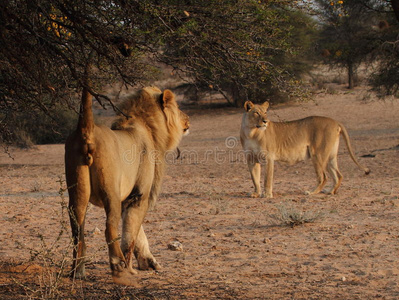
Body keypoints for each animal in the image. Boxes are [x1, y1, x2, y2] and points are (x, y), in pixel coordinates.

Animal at [65, 86, 190, 284]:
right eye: (178, 108)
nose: (188, 120)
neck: (147, 125)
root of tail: (87, 131)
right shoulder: (139, 196)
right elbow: (131, 234)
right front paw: (131, 268)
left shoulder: (129, 198)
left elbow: (137, 233)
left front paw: (148, 262)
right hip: (112, 194)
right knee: (109, 228)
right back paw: (118, 267)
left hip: (77, 194)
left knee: (78, 233)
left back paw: (77, 272)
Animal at [239, 101, 370, 199]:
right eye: (256, 113)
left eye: (265, 112)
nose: (265, 121)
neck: (251, 132)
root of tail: (336, 121)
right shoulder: (251, 159)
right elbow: (254, 178)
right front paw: (256, 193)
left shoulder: (269, 157)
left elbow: (267, 178)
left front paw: (267, 195)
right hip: (329, 156)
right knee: (339, 175)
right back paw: (330, 191)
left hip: (317, 154)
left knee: (323, 177)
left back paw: (311, 192)